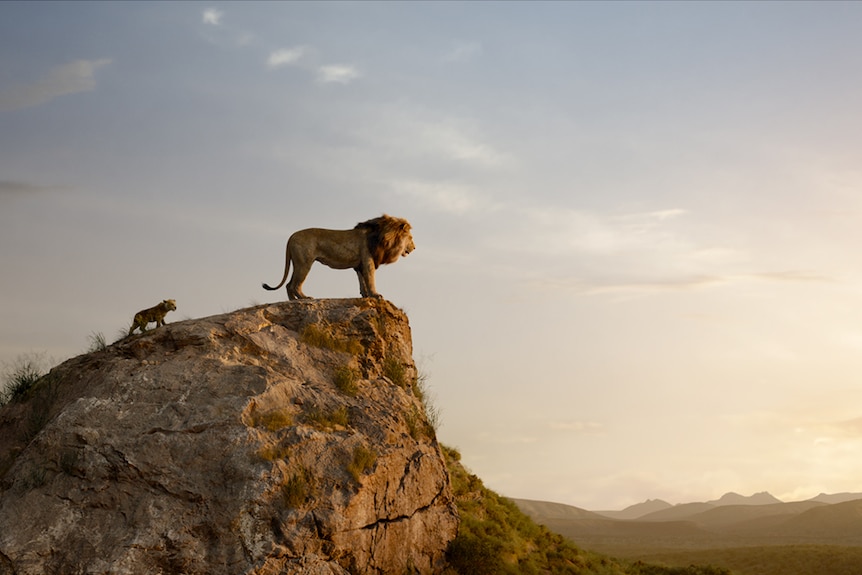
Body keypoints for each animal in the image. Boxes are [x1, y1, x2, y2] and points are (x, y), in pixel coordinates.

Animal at [264, 214, 416, 300]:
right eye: (410, 238)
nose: (414, 248)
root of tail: (291, 236)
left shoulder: (360, 265)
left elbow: (362, 281)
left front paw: (365, 295)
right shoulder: (368, 261)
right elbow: (370, 279)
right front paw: (375, 295)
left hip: (297, 263)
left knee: (289, 285)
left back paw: (293, 301)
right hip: (305, 263)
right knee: (295, 285)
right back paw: (304, 298)